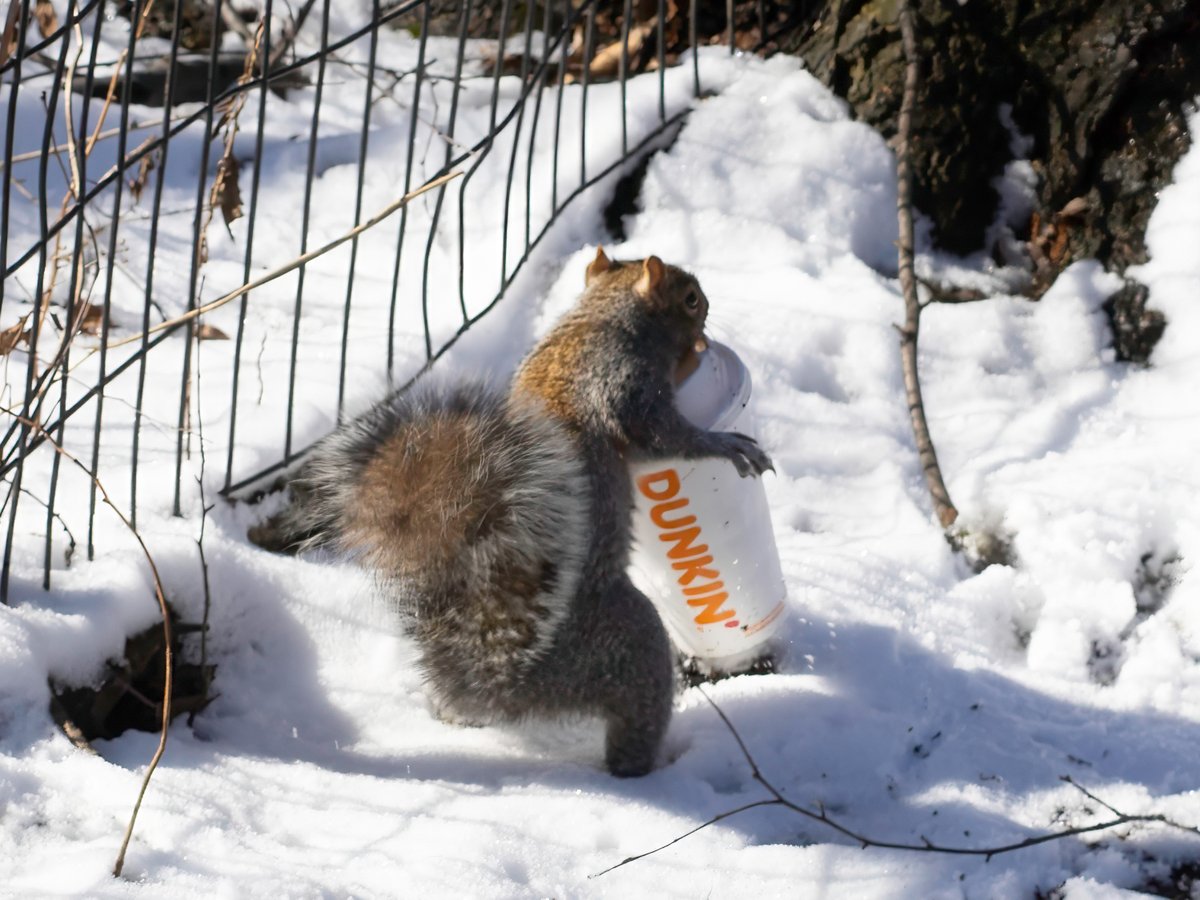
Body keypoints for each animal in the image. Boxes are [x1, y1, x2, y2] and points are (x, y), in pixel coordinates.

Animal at [248, 250, 772, 777]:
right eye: (690, 299)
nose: (709, 313)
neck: (597, 316)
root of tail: (508, 683)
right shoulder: (622, 381)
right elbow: (661, 434)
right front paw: (725, 444)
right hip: (629, 644)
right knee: (636, 713)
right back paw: (650, 769)